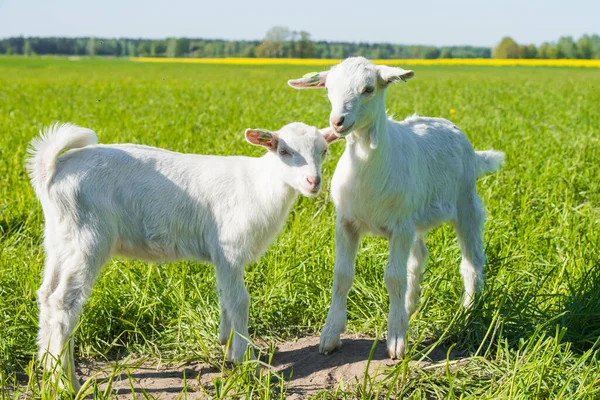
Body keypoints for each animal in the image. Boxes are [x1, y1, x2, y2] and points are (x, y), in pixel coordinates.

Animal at [25, 122, 330, 390]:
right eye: (284, 151)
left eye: (324, 150)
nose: (313, 182)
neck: (259, 186)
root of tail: (53, 169)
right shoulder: (230, 248)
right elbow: (240, 300)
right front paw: (248, 363)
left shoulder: (222, 256)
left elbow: (225, 297)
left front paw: (228, 348)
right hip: (87, 238)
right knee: (64, 302)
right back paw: (68, 384)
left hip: (59, 238)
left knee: (46, 295)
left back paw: (48, 368)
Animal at [288, 56, 504, 360]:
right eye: (328, 89)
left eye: (368, 89)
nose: (337, 122)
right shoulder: (347, 222)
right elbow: (342, 275)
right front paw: (330, 336)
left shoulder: (399, 226)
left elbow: (393, 278)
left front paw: (396, 341)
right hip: (415, 218)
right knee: (418, 257)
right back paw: (410, 307)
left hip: (465, 204)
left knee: (471, 261)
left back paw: (469, 310)